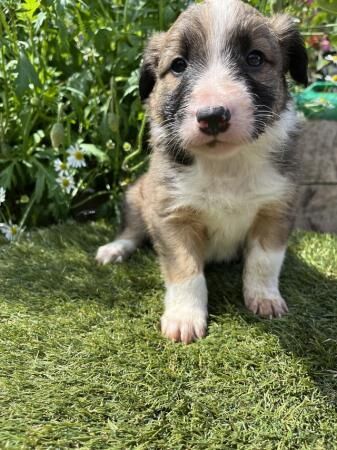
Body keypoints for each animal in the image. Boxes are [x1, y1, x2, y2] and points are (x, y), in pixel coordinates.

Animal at [95, 0, 308, 342]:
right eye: (178, 65)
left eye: (255, 58)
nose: (213, 116)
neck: (225, 165)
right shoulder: (172, 215)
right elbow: (186, 272)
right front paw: (184, 318)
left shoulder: (276, 208)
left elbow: (264, 261)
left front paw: (264, 298)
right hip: (137, 195)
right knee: (132, 230)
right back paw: (114, 249)